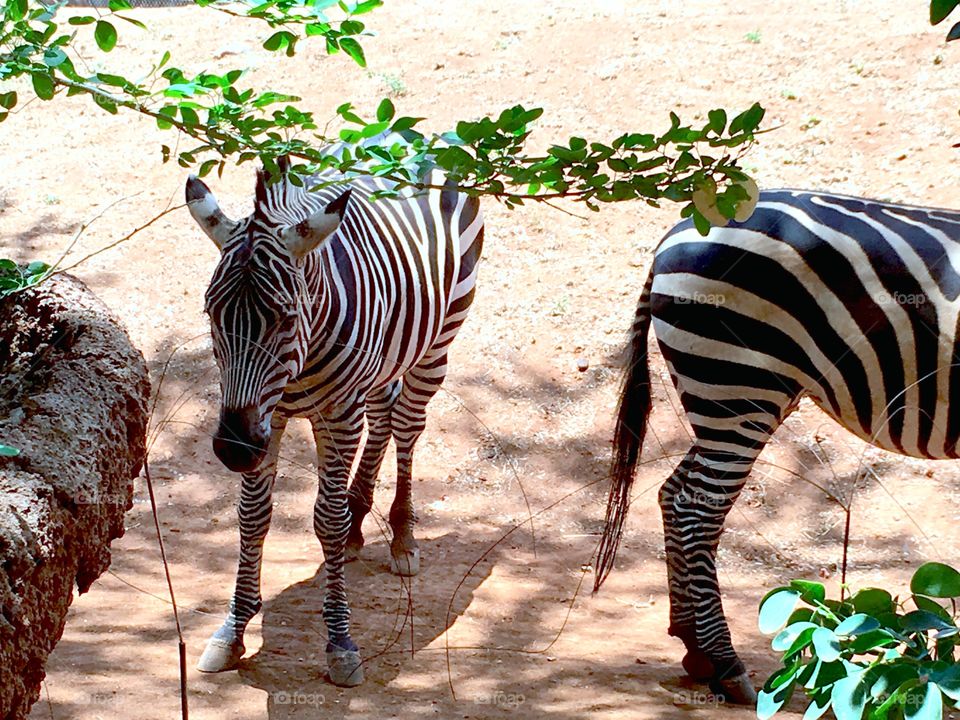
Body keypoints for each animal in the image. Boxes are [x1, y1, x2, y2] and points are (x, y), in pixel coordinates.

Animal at [184, 155, 484, 687]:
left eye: (285, 319)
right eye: (211, 314)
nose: (233, 449)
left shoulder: (337, 412)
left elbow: (327, 518)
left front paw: (340, 642)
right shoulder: (268, 417)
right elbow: (253, 517)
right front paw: (234, 628)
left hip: (439, 339)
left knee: (407, 424)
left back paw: (401, 535)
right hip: (379, 364)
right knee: (384, 412)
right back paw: (360, 518)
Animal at [593, 189, 960, 704]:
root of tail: (675, 233)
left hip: (735, 399)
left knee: (673, 492)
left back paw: (693, 645)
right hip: (738, 386)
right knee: (695, 508)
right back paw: (724, 661)